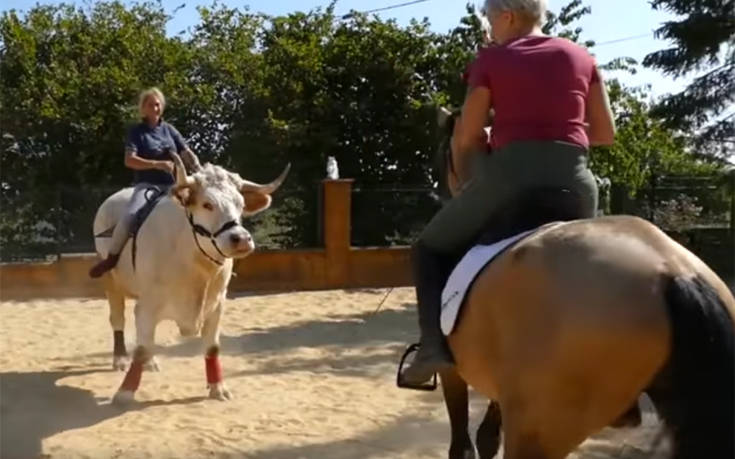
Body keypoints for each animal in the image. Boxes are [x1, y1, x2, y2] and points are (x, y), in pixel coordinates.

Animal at [92, 153, 288, 404]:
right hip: (111, 282)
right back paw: (120, 359)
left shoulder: (217, 303)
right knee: (117, 319)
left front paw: (218, 387)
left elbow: (211, 347)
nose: (242, 240)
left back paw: (151, 362)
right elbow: (142, 346)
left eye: (241, 205)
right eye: (207, 204)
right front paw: (124, 393)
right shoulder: (147, 305)